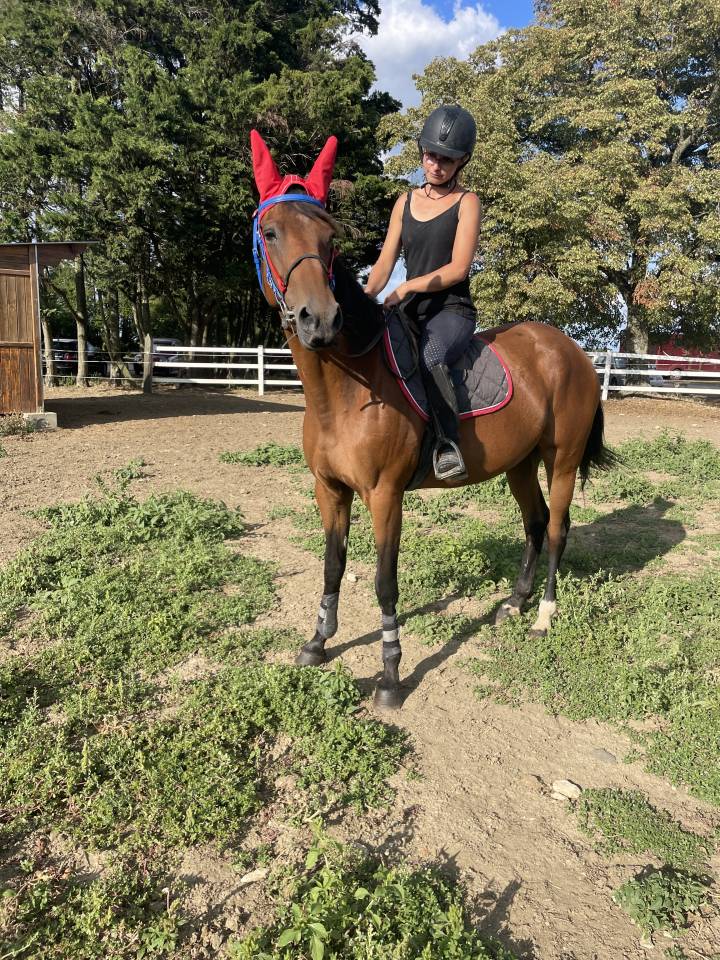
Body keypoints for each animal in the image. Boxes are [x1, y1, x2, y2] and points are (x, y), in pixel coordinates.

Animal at [250, 132, 611, 709]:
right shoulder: (329, 489)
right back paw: (516, 602)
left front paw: (390, 677)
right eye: (270, 231)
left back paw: (544, 616)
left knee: (556, 529)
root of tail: (571, 350)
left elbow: (384, 581)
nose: (320, 319)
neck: (346, 390)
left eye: (329, 239)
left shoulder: (384, 495)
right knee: (534, 524)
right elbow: (332, 566)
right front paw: (317, 644)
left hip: (563, 460)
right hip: (519, 464)